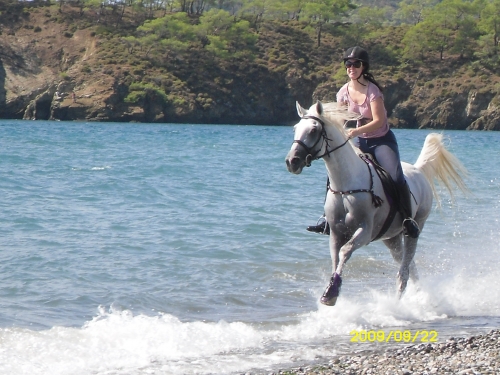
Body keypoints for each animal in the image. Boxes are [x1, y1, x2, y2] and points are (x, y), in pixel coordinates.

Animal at [288, 101, 466, 306]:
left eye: (313, 130)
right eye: (296, 128)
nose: (291, 161)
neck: (346, 185)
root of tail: (418, 170)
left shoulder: (365, 231)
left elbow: (345, 251)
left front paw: (332, 292)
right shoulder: (335, 232)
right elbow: (335, 258)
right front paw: (330, 291)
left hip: (415, 227)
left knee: (405, 268)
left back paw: (399, 302)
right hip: (391, 237)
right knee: (409, 265)